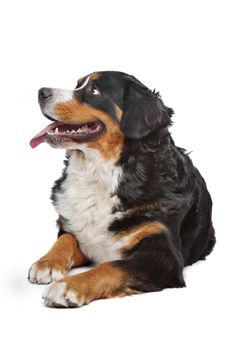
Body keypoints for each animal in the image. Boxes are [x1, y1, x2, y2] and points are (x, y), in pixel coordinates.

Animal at [28, 70, 216, 306]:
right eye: (78, 84)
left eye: (94, 91)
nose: (41, 92)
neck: (101, 175)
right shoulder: (77, 230)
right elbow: (66, 239)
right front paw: (47, 263)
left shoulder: (164, 258)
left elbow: (110, 267)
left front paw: (68, 286)